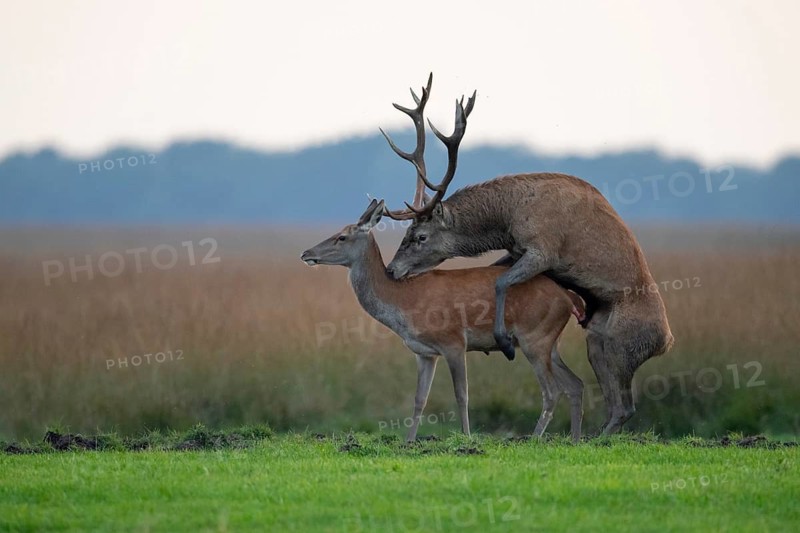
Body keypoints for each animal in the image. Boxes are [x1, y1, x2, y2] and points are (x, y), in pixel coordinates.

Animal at [301, 198, 586, 442]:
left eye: (342, 237)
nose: (305, 253)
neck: (402, 303)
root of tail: (568, 297)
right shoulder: (424, 353)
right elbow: (419, 398)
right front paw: (409, 441)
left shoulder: (453, 341)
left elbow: (462, 394)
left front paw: (467, 437)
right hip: (550, 342)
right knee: (575, 384)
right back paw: (574, 439)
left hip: (534, 337)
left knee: (551, 390)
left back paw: (535, 438)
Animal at [378, 74, 674, 435]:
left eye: (420, 236)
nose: (392, 269)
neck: (508, 217)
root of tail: (666, 342)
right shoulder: (515, 250)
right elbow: (496, 273)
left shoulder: (543, 248)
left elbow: (501, 282)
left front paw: (504, 342)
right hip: (597, 341)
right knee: (612, 402)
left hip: (623, 346)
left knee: (624, 407)